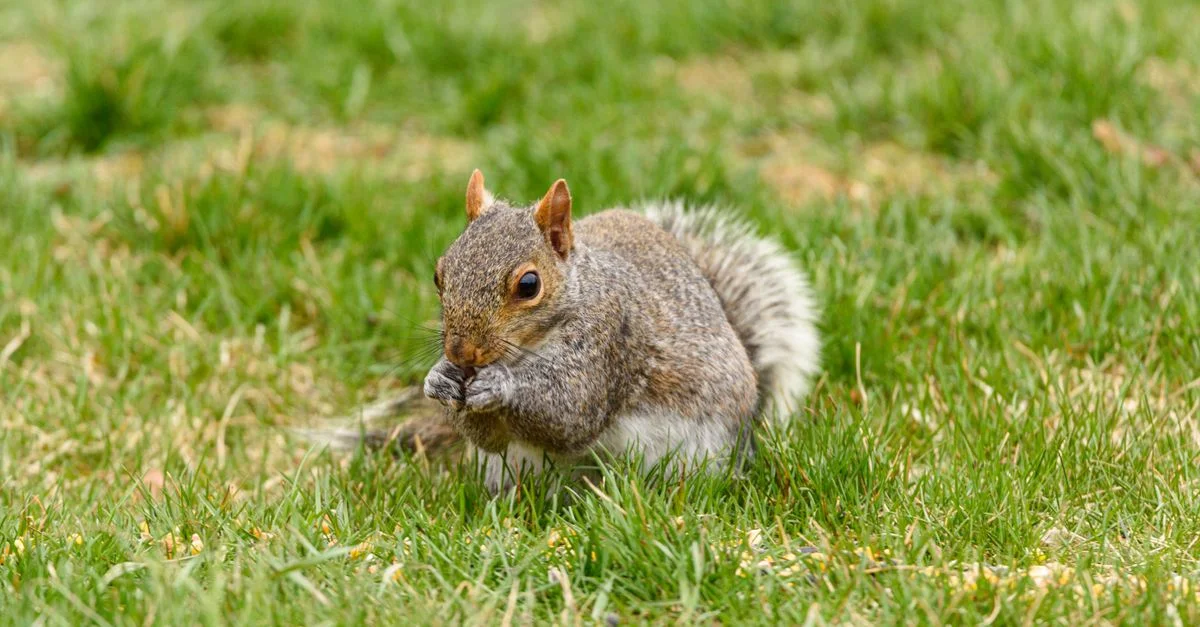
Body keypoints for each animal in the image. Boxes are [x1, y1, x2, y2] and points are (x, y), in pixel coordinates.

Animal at [323, 170, 820, 493]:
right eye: (438, 275)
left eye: (529, 285)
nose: (462, 353)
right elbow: (491, 436)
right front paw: (439, 379)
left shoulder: (609, 343)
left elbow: (570, 415)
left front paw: (502, 386)